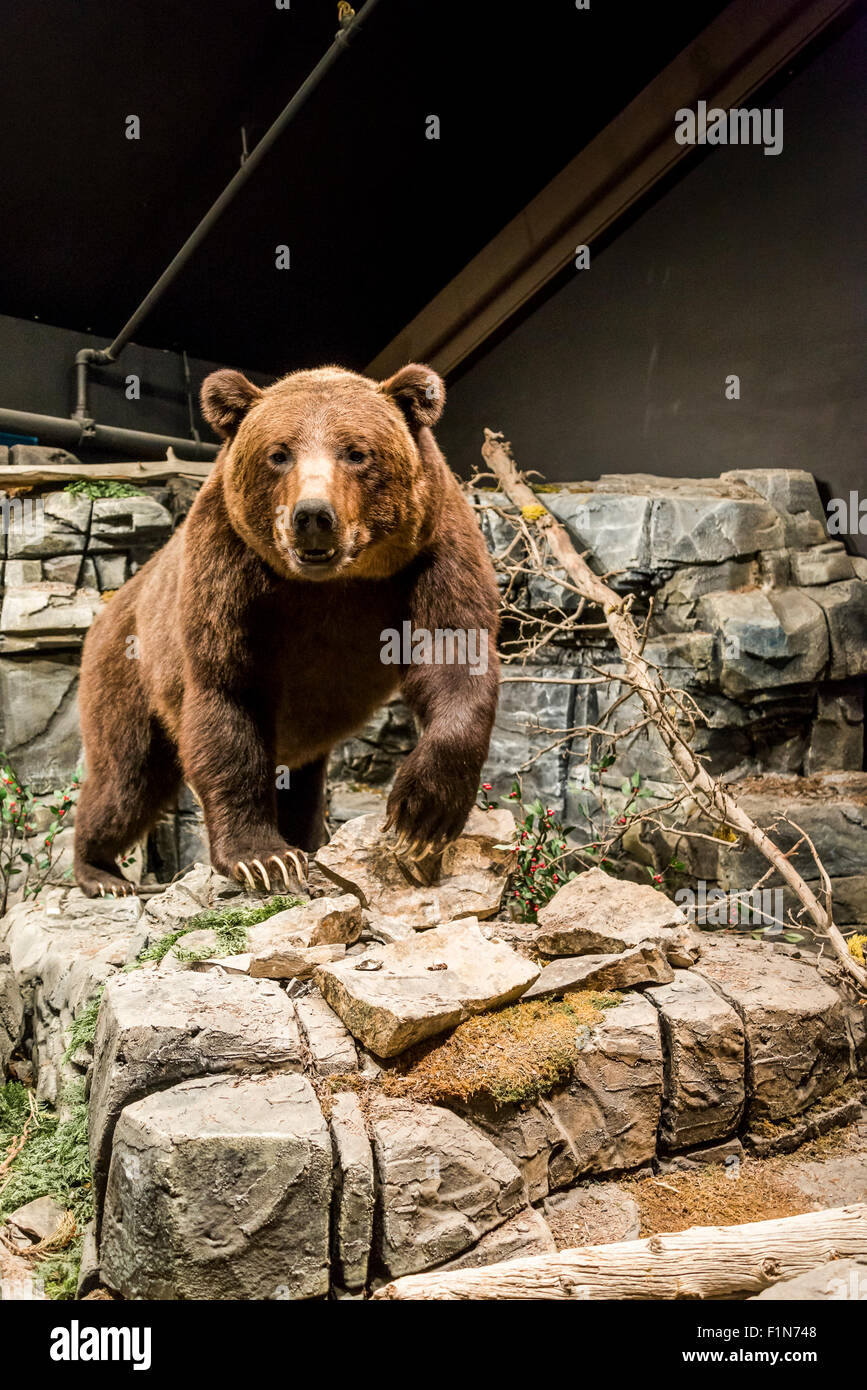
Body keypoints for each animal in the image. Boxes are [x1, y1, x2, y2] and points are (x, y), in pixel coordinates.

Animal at [73, 363, 501, 898]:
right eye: (278, 454)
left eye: (356, 451)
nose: (313, 515)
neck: (329, 582)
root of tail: (106, 612)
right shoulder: (227, 568)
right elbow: (228, 692)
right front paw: (264, 859)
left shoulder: (431, 552)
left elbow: (454, 655)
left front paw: (420, 817)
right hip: (128, 667)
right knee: (126, 779)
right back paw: (101, 872)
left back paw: (310, 841)